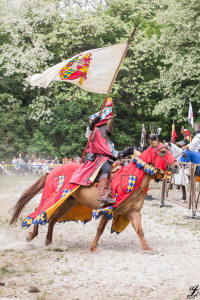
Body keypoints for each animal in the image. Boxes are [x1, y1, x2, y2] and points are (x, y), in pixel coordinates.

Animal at [9, 144, 179, 252]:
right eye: (163, 151)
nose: (177, 166)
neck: (132, 176)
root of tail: (51, 172)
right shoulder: (108, 209)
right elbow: (100, 229)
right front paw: (93, 247)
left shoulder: (133, 212)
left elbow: (139, 230)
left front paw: (147, 248)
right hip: (55, 197)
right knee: (39, 211)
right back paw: (32, 236)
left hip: (67, 203)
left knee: (51, 219)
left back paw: (49, 243)